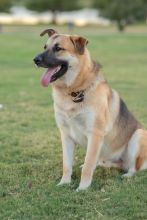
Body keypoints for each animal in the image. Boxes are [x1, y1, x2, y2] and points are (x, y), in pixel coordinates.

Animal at [33, 28, 147, 191]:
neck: (73, 91)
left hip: (137, 136)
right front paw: (64, 182)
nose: (35, 60)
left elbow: (88, 166)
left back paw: (127, 175)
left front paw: (82, 188)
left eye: (58, 48)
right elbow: (67, 164)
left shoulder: (95, 134)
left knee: (133, 167)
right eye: (45, 47)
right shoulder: (65, 135)